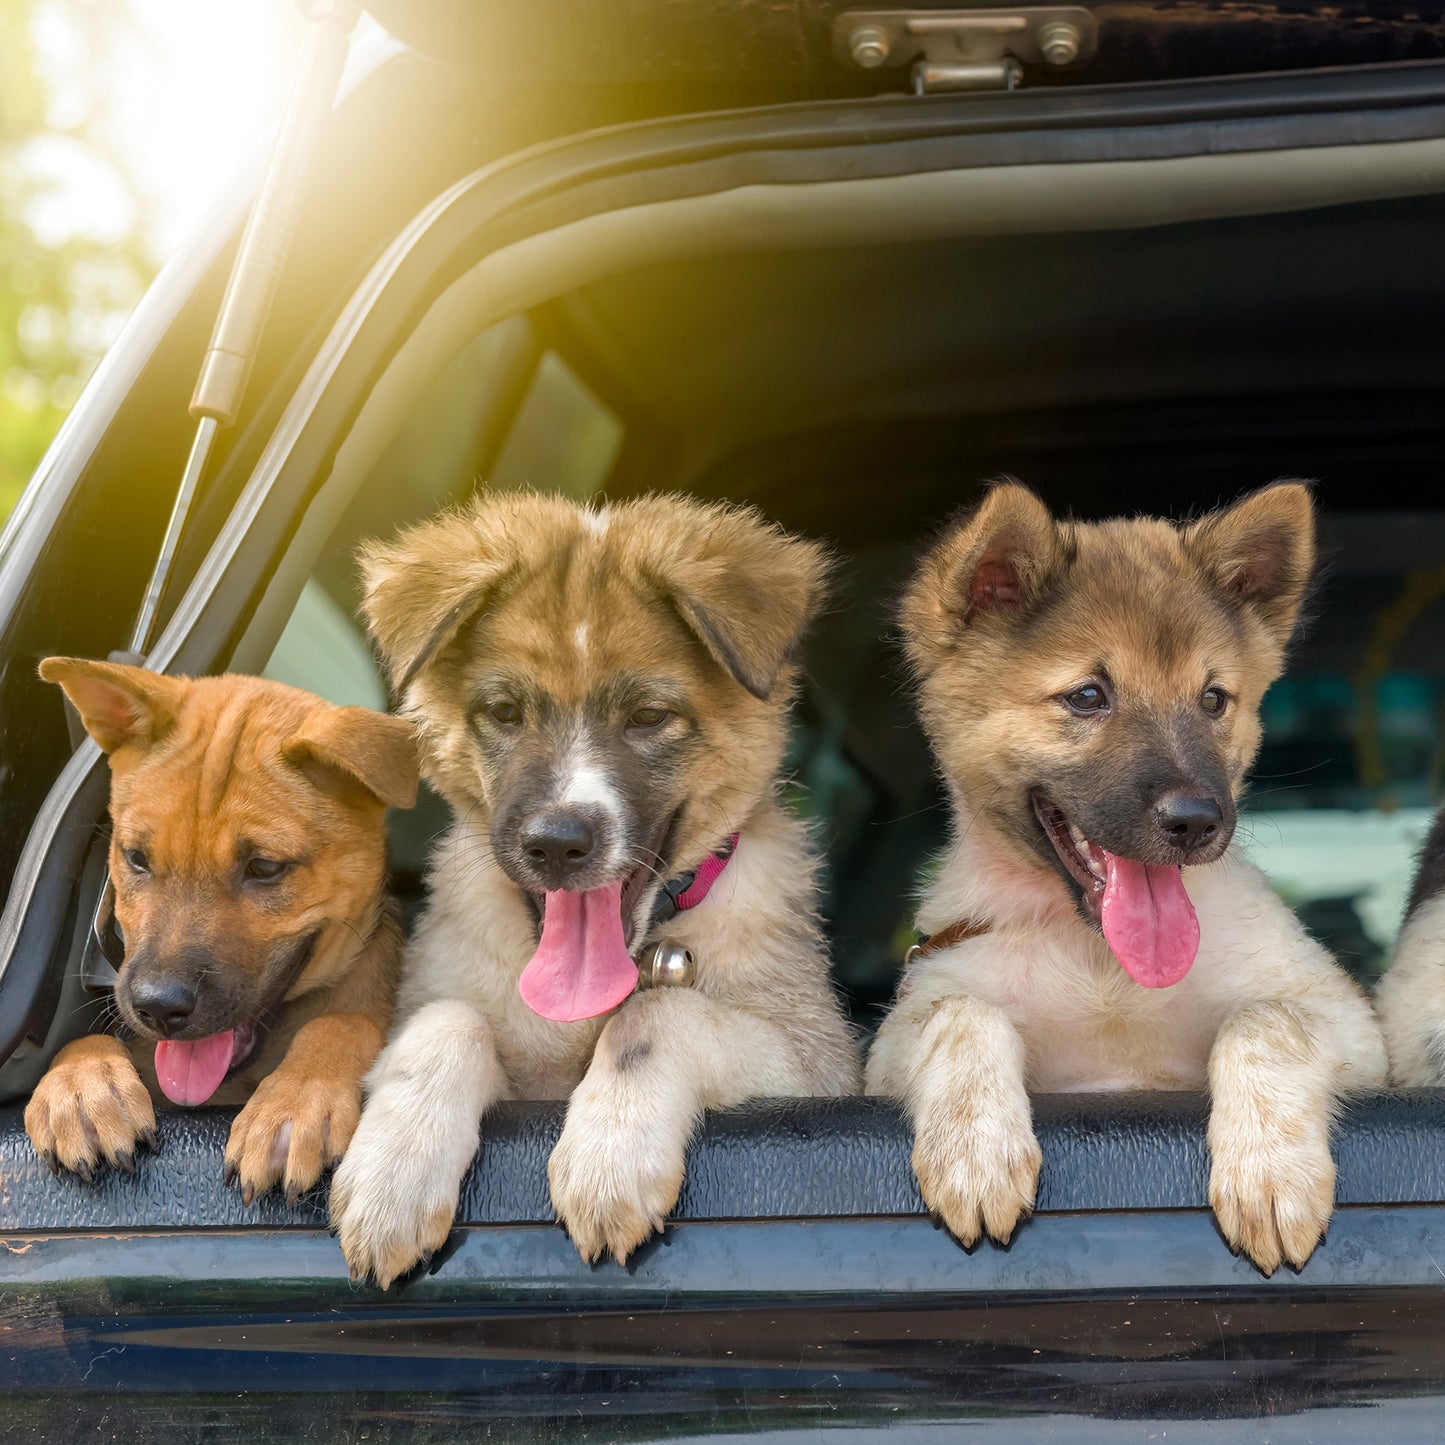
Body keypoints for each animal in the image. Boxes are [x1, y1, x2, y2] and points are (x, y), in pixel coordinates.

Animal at [25, 664, 419, 1208]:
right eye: (136, 858)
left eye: (265, 867)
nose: (158, 1008)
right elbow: (86, 1040)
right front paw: (82, 1086)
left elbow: (342, 1022)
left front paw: (295, 1102)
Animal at [330, 491, 855, 1283]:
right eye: (505, 712)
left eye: (647, 717)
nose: (555, 843)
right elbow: (449, 1020)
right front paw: (392, 1175)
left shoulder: (814, 1066)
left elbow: (656, 1013)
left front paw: (610, 1158)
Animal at [861, 482, 1381, 1277]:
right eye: (1086, 697)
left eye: (1212, 699)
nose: (1197, 821)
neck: (1101, 963)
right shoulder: (896, 1035)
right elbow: (960, 1014)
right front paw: (976, 1149)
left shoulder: (1346, 1017)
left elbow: (1264, 1021)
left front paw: (1269, 1169)